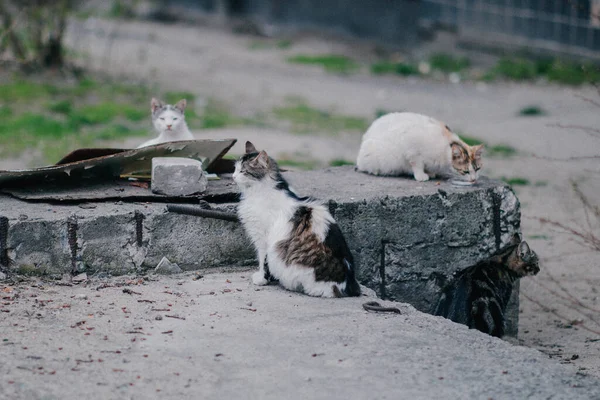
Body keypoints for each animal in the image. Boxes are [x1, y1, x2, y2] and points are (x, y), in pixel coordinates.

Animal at [233, 142, 360, 298]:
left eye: (243, 171)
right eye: (235, 168)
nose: (233, 177)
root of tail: (348, 284)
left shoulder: (263, 238)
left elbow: (263, 261)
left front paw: (261, 279)